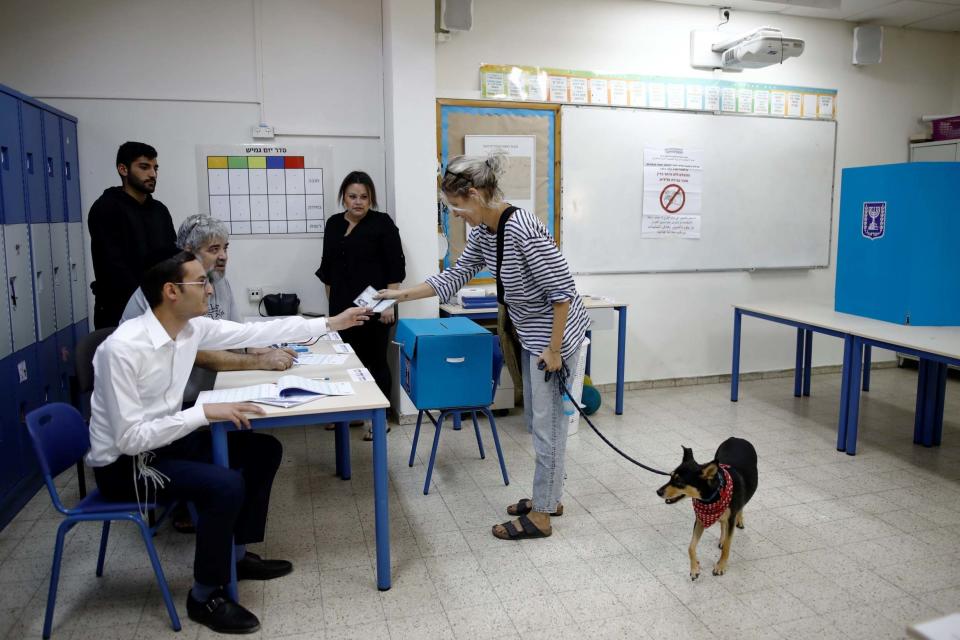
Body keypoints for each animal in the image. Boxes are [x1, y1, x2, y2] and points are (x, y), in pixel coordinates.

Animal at [660, 440, 756, 580]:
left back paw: (739, 521)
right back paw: (721, 539)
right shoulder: (700, 519)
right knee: (722, 523)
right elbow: (691, 547)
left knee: (741, 506)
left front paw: (720, 566)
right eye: (670, 476)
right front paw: (695, 568)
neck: (712, 497)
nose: (658, 492)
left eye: (679, 482)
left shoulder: (730, 518)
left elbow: (727, 546)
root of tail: (737, 438)